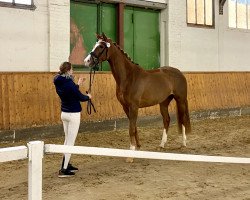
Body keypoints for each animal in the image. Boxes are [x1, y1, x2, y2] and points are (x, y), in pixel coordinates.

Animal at [84, 32, 191, 161]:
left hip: (180, 100)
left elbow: (131, 129)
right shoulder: (126, 107)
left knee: (183, 119)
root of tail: (179, 72)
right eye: (95, 45)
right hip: (164, 102)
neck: (128, 77)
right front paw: (138, 147)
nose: (87, 61)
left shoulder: (134, 107)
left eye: (101, 46)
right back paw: (162, 144)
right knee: (167, 120)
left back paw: (184, 143)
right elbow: (134, 127)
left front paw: (130, 155)